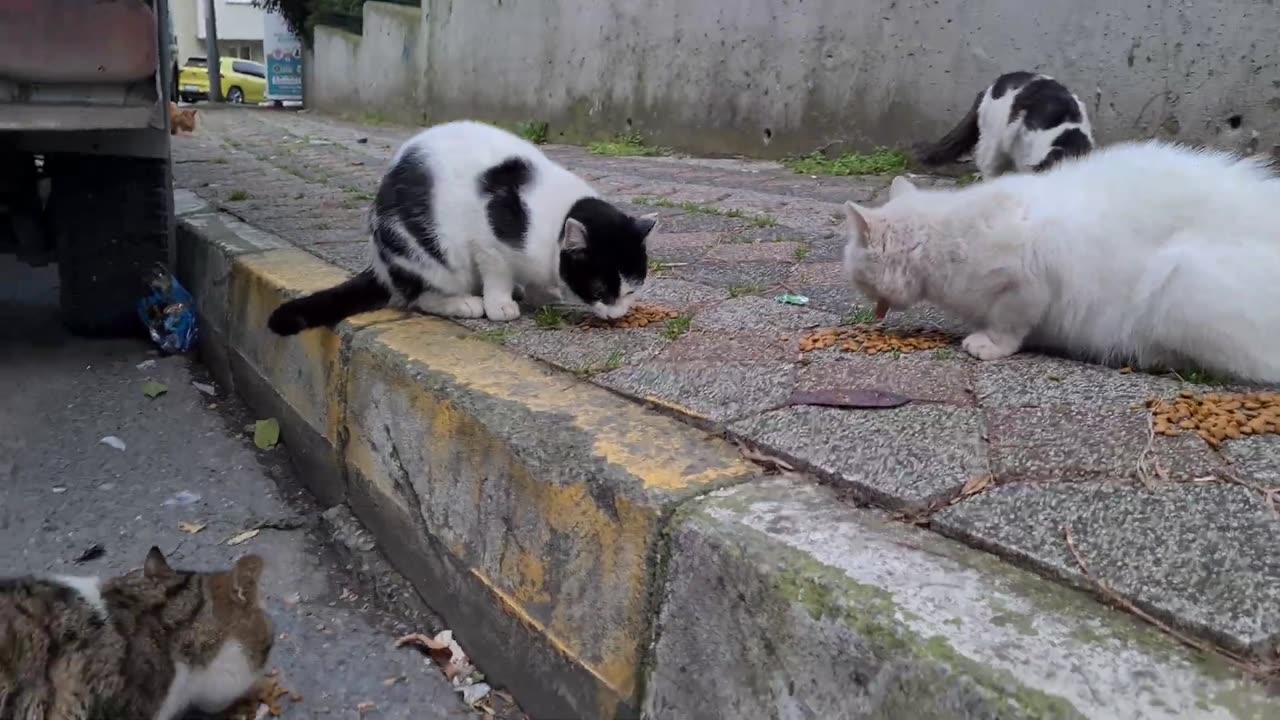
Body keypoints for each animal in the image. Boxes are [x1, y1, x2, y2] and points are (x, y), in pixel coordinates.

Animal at [264, 119, 655, 333]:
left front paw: (539, 293)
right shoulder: (488, 242)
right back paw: (465, 303)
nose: (618, 314)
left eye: (632, 289)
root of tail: (381, 263)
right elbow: (497, 272)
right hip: (426, 253)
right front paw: (500, 304)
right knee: (418, 297)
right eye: (600, 288)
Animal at [839, 137, 1280, 379]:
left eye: (860, 281)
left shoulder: (1026, 281)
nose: (873, 310)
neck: (943, 238)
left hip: (1179, 280)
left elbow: (1008, 325)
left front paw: (987, 345)